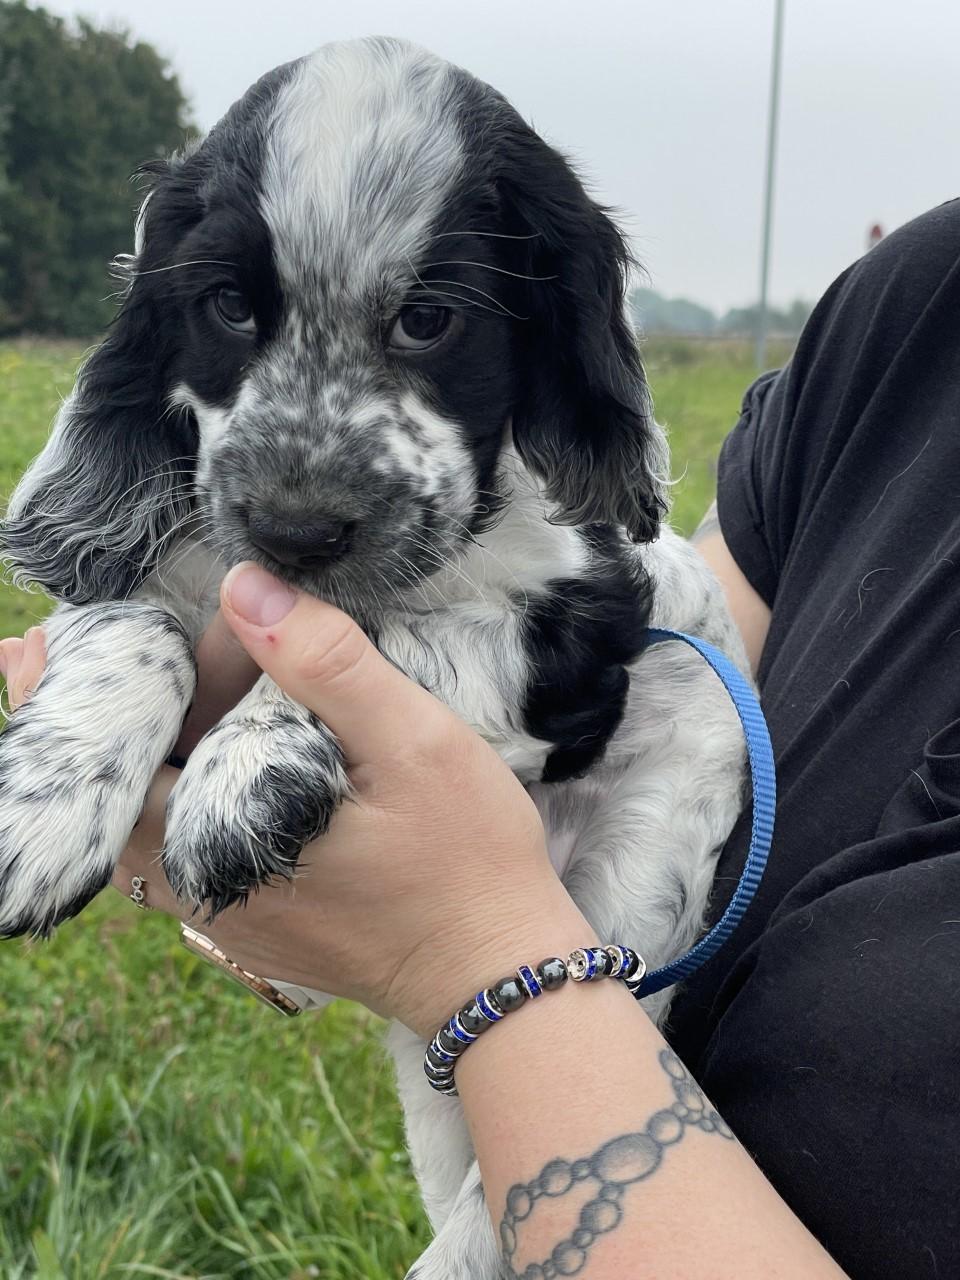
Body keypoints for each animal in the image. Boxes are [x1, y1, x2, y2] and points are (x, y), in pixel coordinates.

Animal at [0, 35, 752, 1274]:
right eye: (226, 307)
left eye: (430, 320)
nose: (298, 529)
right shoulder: (168, 567)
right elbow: (132, 621)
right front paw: (41, 803)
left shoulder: (583, 622)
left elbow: (394, 631)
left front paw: (248, 768)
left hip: (641, 893)